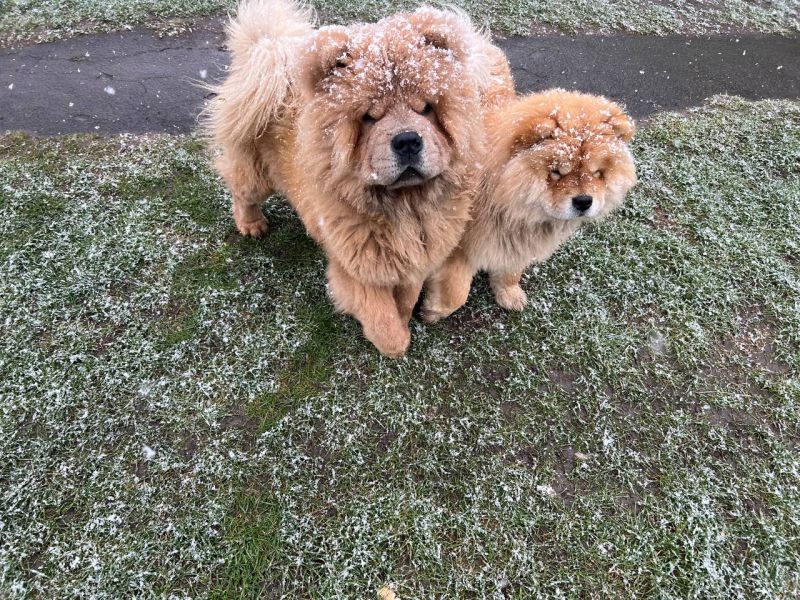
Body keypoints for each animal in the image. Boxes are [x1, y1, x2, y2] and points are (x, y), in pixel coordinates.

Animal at [205, 0, 499, 356]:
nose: (407, 140)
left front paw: (407, 315)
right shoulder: (357, 268)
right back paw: (251, 224)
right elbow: (384, 322)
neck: (405, 207)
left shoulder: (418, 255)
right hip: (255, 171)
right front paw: (397, 342)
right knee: (241, 190)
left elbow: (407, 296)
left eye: (426, 108)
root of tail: (270, 53)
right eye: (370, 117)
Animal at [422, 89, 637, 322]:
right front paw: (432, 312)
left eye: (597, 172)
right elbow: (456, 292)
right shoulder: (455, 247)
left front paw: (509, 295)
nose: (584, 201)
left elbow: (510, 272)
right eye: (556, 172)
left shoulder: (516, 242)